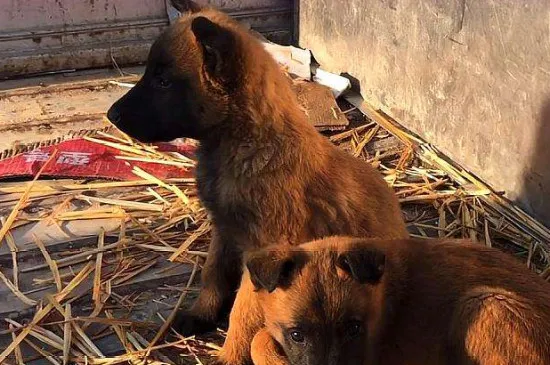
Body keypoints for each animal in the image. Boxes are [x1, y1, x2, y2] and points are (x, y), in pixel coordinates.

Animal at [108, 0, 410, 336]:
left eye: (163, 81)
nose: (111, 115)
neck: (246, 144)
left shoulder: (262, 251)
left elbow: (243, 310)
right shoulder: (225, 231)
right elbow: (213, 274)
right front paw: (201, 314)